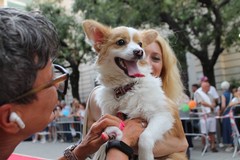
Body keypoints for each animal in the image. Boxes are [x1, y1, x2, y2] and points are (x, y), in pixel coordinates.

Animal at [82, 19, 188, 159]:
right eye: (121, 42)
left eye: (140, 44)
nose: (139, 52)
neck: (126, 87)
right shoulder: (108, 114)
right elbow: (108, 125)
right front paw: (114, 132)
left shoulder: (163, 116)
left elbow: (145, 137)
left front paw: (145, 156)